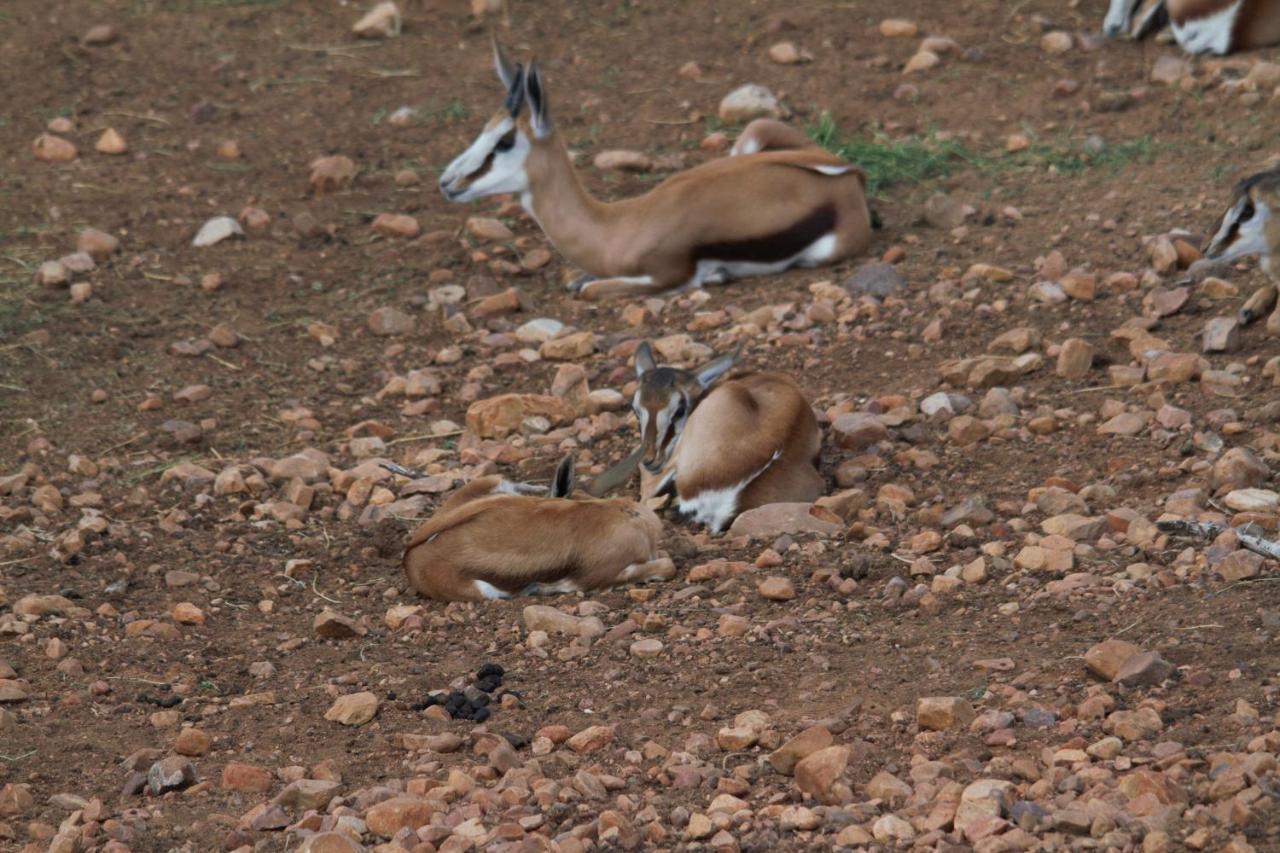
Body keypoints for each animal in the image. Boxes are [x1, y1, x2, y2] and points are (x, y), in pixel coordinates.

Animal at [435, 44, 875, 302]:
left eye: (505, 140)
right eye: (484, 130)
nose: (447, 183)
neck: (617, 227)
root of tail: (850, 179)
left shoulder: (666, 274)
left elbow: (590, 289)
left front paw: (714, 276)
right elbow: (578, 281)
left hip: (821, 253)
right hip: (754, 135)